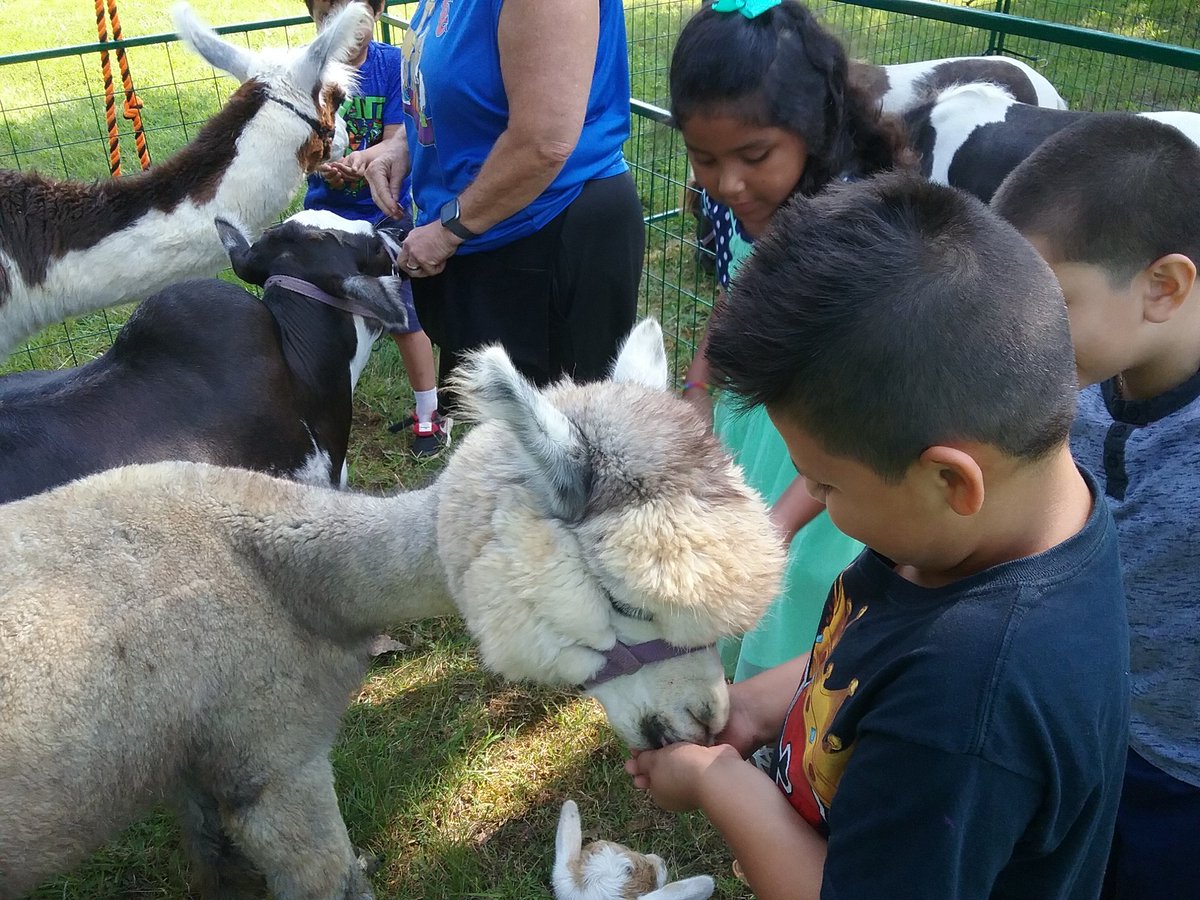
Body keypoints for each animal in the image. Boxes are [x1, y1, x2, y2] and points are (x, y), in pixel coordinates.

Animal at [0, 321, 782, 900]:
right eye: (626, 602)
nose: (707, 719)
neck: (282, 572)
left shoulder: (198, 751)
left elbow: (215, 863)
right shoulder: (273, 754)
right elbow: (326, 877)